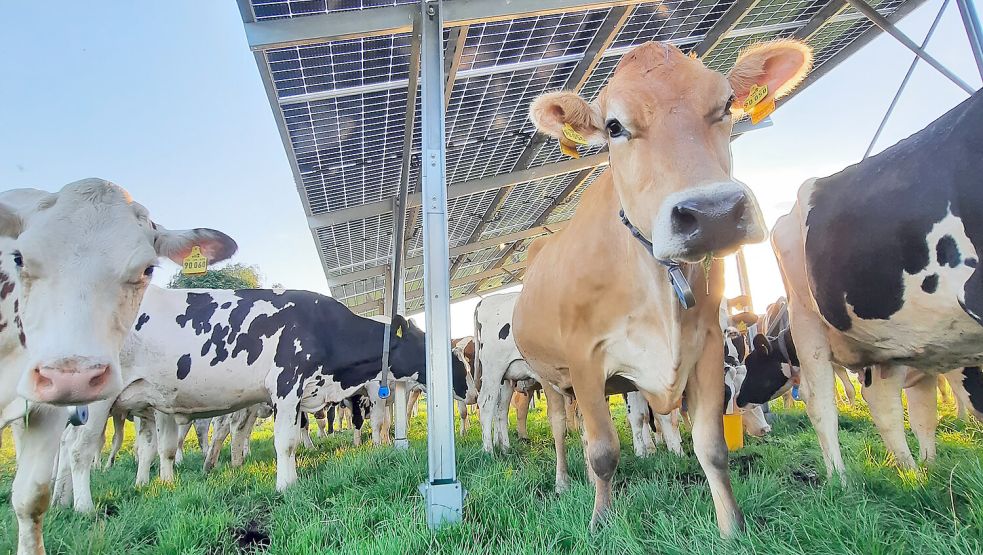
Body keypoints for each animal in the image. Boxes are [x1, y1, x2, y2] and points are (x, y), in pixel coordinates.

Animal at [772, 89, 983, 480]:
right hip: (806, 321)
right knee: (821, 399)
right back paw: (841, 480)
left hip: (896, 342)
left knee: (893, 404)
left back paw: (917, 472)